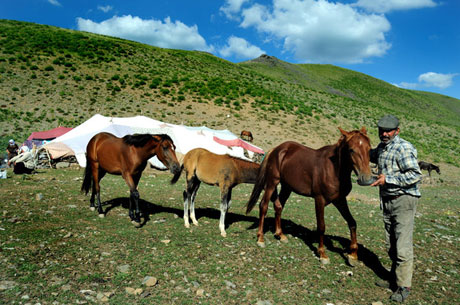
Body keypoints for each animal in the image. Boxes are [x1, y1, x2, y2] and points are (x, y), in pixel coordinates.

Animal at [246, 126, 372, 264]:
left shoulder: (340, 200)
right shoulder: (319, 200)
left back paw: (280, 234)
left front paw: (353, 255)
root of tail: (276, 149)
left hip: (287, 187)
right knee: (263, 206)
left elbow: (352, 222)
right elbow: (321, 226)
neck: (333, 170)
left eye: (369, 149)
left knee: (278, 206)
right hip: (271, 183)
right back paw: (260, 238)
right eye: (351, 150)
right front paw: (322, 254)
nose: (366, 179)